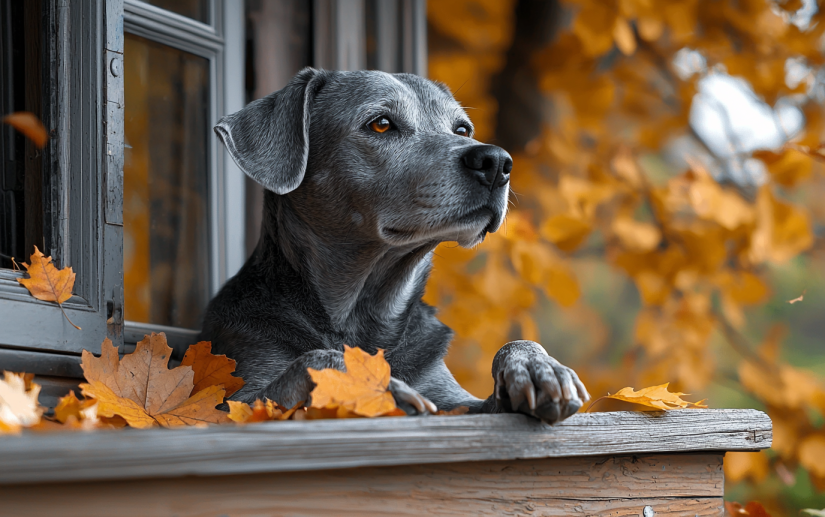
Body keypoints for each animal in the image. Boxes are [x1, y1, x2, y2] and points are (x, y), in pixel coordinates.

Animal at [204, 67, 592, 424]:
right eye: (380, 124)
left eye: (462, 130)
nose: (496, 162)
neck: (365, 320)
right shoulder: (237, 402)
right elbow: (314, 362)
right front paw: (374, 385)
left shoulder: (455, 400)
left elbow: (508, 358)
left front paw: (537, 366)